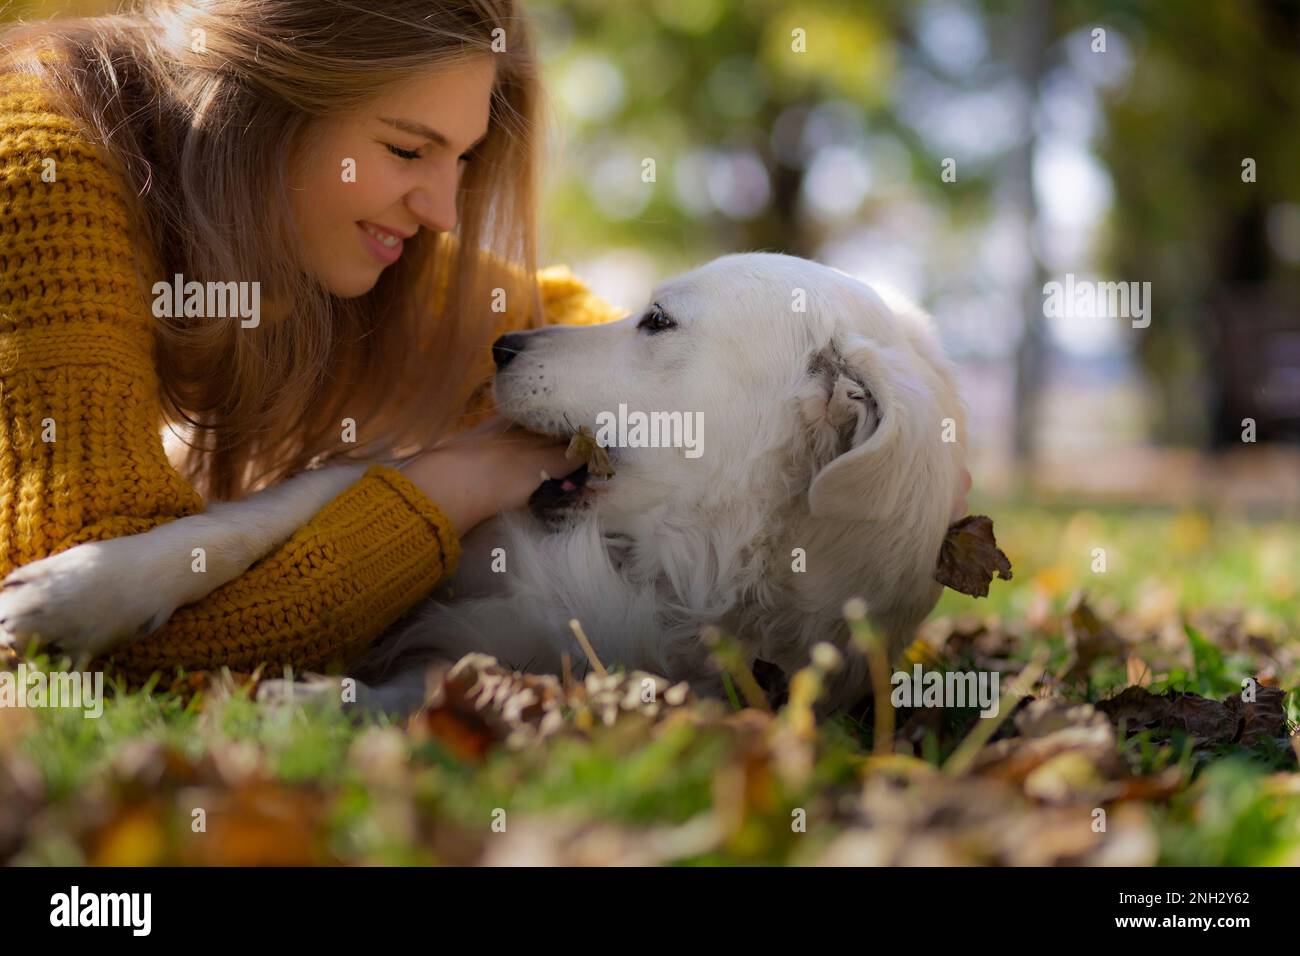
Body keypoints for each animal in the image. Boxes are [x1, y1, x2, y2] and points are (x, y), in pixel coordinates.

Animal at [0, 254, 967, 717]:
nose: (500, 346)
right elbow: (225, 533)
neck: (669, 567)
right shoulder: (401, 479)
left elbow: (422, 693)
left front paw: (307, 703)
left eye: (657, 321)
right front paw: (72, 594)